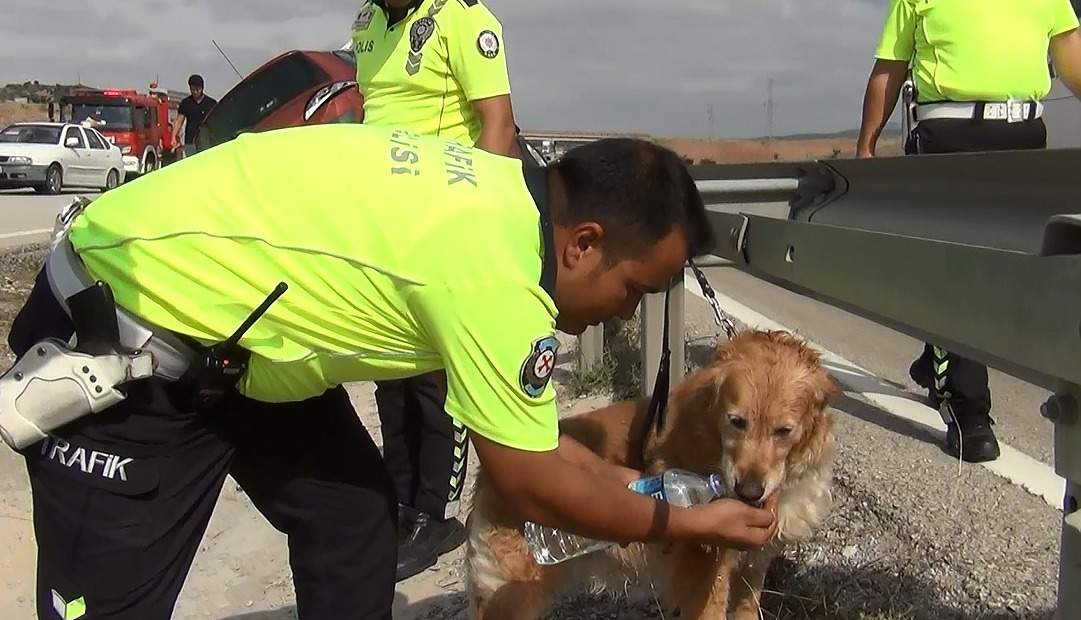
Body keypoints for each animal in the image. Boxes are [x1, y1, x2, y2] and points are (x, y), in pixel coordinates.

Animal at [462, 332, 834, 617]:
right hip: (516, 592)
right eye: (736, 421)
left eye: (784, 431)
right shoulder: (704, 576)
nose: (749, 491)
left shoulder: (753, 568)